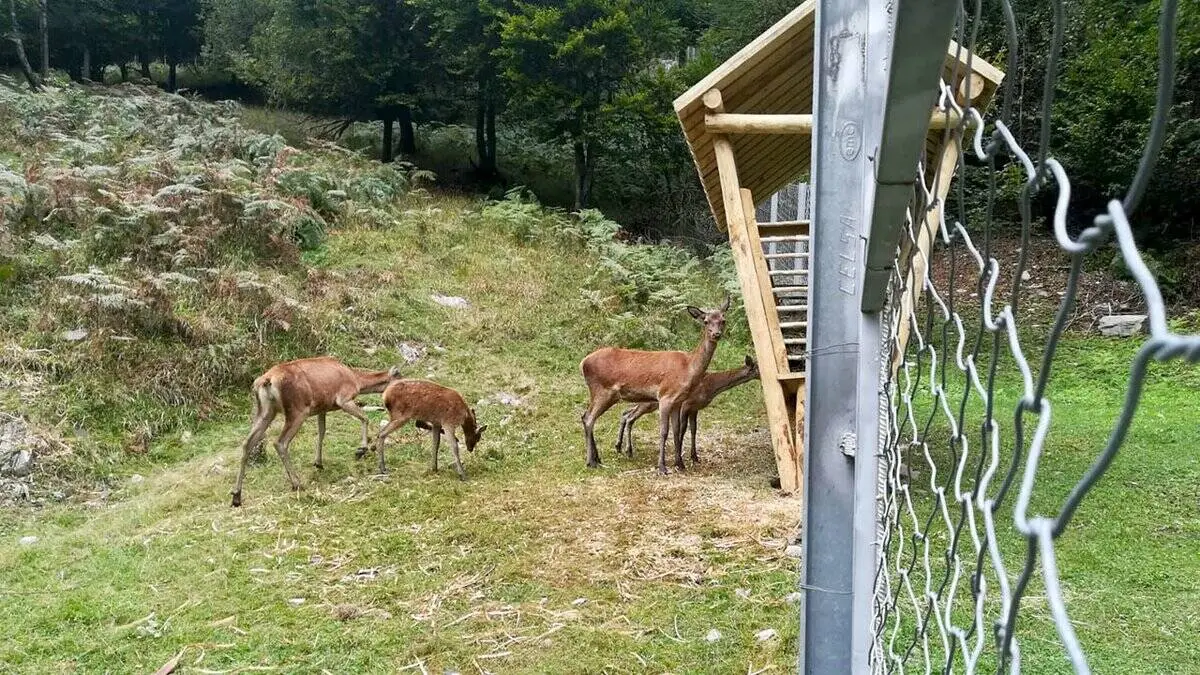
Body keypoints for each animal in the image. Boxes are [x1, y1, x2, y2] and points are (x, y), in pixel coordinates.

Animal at [229, 357, 403, 504]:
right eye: (400, 378)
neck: (357, 381)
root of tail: (266, 381)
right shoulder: (343, 398)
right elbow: (365, 418)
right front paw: (361, 449)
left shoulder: (322, 407)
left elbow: (321, 431)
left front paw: (318, 462)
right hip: (297, 410)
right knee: (280, 442)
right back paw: (297, 483)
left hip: (266, 411)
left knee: (247, 443)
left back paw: (236, 495)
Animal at [580, 294, 729, 473]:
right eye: (706, 321)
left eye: (723, 320)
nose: (716, 334)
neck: (688, 368)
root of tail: (583, 362)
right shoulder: (665, 396)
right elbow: (664, 431)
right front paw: (662, 467)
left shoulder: (678, 401)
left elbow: (677, 430)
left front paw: (680, 464)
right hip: (602, 391)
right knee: (589, 418)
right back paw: (591, 461)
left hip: (606, 395)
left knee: (586, 417)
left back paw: (598, 458)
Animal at [614, 353, 753, 468]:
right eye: (755, 365)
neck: (711, 386)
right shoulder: (686, 405)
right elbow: (683, 428)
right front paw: (680, 457)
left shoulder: (694, 408)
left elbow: (693, 429)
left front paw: (694, 457)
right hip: (649, 404)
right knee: (630, 415)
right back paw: (625, 449)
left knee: (626, 413)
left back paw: (622, 448)